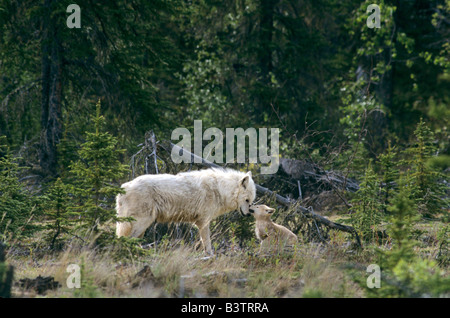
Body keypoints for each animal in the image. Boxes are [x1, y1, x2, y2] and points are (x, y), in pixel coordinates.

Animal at [116, 168, 256, 255]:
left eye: (251, 201)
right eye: (247, 200)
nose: (249, 214)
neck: (219, 190)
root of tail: (123, 189)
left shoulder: (201, 222)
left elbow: (202, 241)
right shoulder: (204, 221)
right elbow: (207, 241)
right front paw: (209, 254)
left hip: (142, 226)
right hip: (142, 223)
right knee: (127, 239)